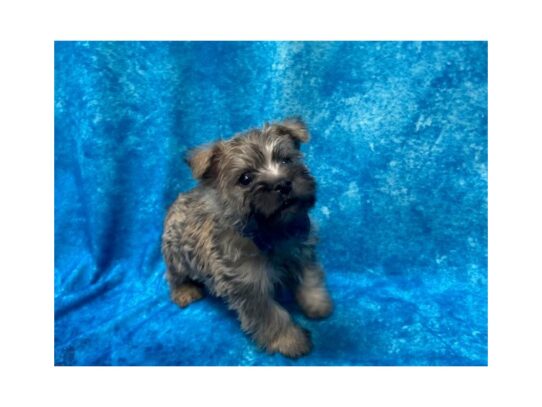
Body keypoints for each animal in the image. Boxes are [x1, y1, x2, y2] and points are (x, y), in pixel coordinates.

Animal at [162, 118, 334, 360]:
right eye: (245, 178)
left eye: (286, 160)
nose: (283, 184)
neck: (270, 231)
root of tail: (180, 199)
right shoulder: (249, 287)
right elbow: (271, 316)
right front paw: (291, 340)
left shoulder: (301, 250)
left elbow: (310, 278)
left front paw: (317, 303)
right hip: (176, 255)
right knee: (173, 276)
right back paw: (184, 291)